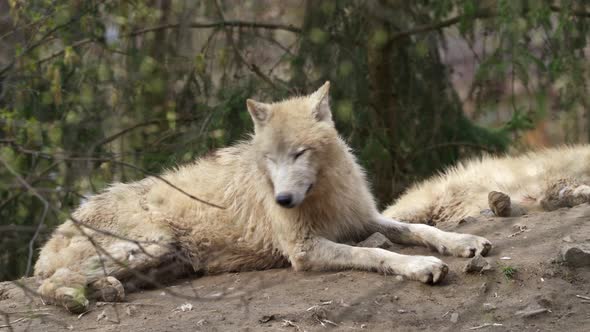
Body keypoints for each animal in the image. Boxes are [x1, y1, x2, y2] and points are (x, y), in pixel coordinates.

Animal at [34, 81, 492, 312]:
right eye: (269, 158)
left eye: (300, 153)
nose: (283, 201)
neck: (322, 193)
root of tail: (55, 233)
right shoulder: (304, 250)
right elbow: (378, 253)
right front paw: (420, 266)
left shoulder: (363, 218)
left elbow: (419, 228)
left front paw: (464, 242)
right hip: (149, 244)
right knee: (48, 283)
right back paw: (77, 298)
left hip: (164, 260)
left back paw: (106, 290)